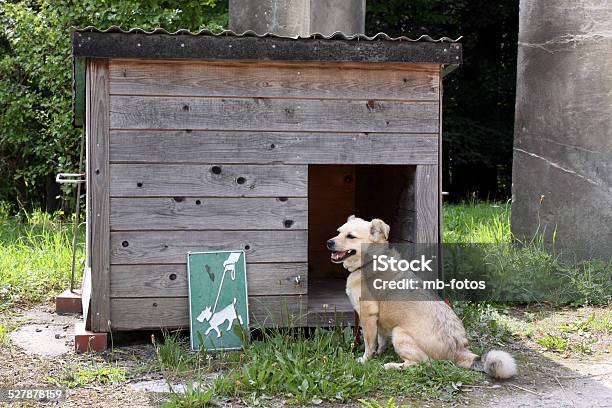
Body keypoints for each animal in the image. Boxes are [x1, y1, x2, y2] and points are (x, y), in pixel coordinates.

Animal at [326, 217, 516, 380]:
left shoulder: (367, 315)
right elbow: (380, 340)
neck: (371, 260)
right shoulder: (377, 321)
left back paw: (393, 366)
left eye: (351, 236)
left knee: (421, 363)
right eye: (338, 232)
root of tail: (459, 351)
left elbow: (369, 342)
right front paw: (379, 353)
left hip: (399, 333)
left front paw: (366, 359)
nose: (329, 242)